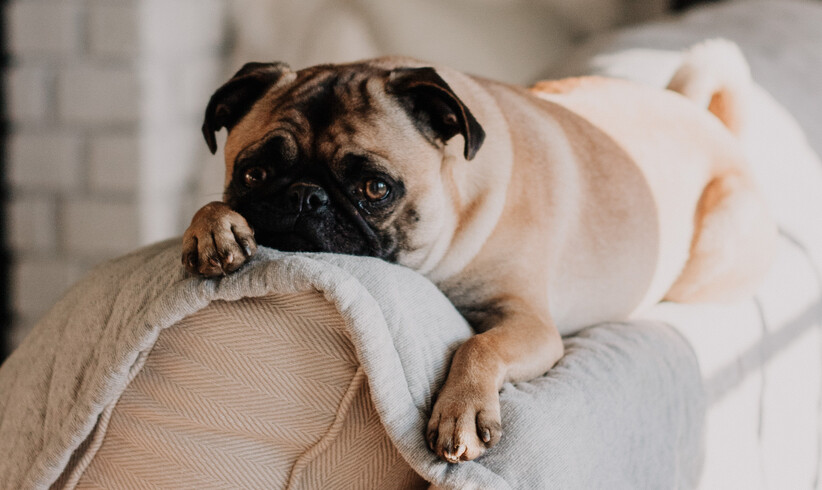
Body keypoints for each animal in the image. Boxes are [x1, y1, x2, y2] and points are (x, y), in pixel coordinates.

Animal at [182, 42, 780, 464]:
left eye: (376, 188)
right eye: (254, 173)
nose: (306, 197)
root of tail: (711, 123)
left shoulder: (530, 324)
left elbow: (479, 345)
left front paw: (462, 411)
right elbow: (210, 207)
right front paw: (212, 228)